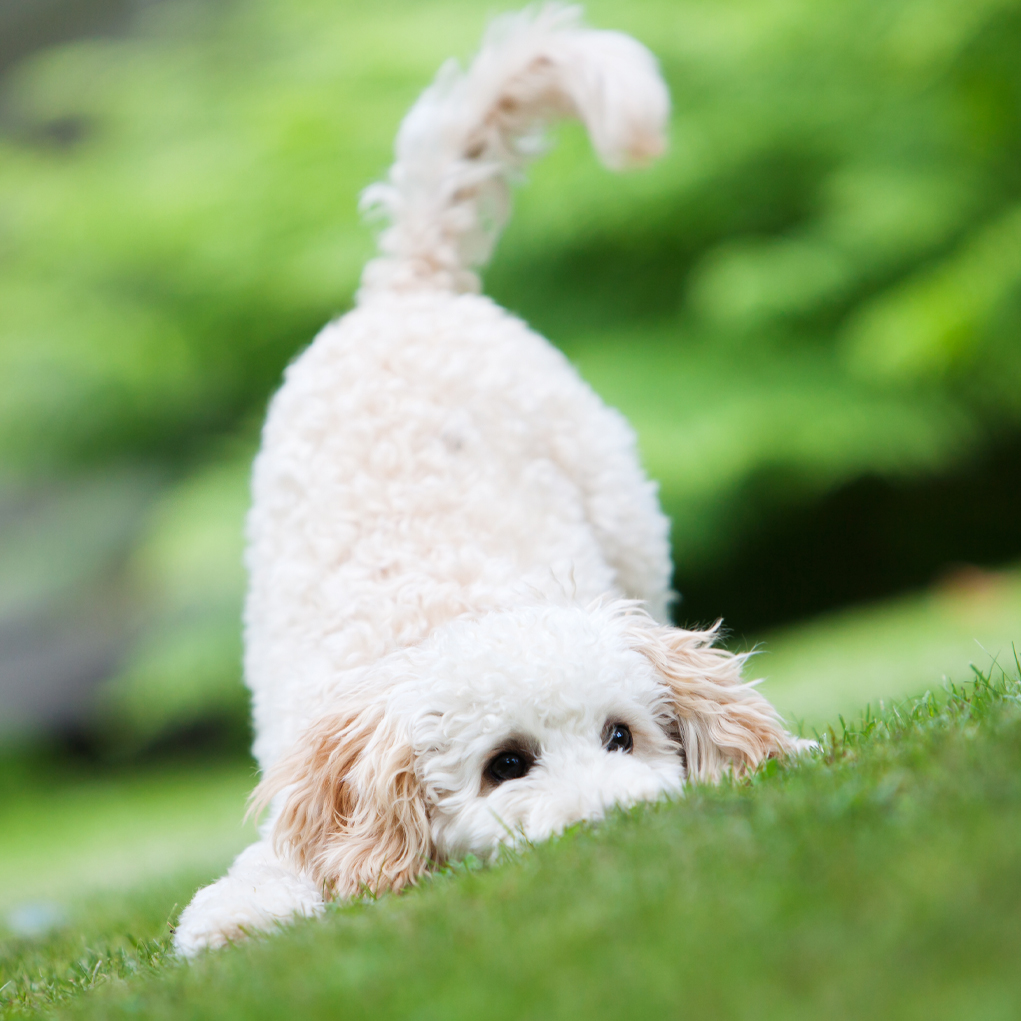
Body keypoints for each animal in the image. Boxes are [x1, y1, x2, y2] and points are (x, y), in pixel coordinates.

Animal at [173, 1, 804, 955]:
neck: (445, 613)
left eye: (621, 736)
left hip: (633, 534)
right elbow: (264, 879)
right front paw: (239, 920)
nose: (620, 820)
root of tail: (405, 287)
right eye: (505, 764)